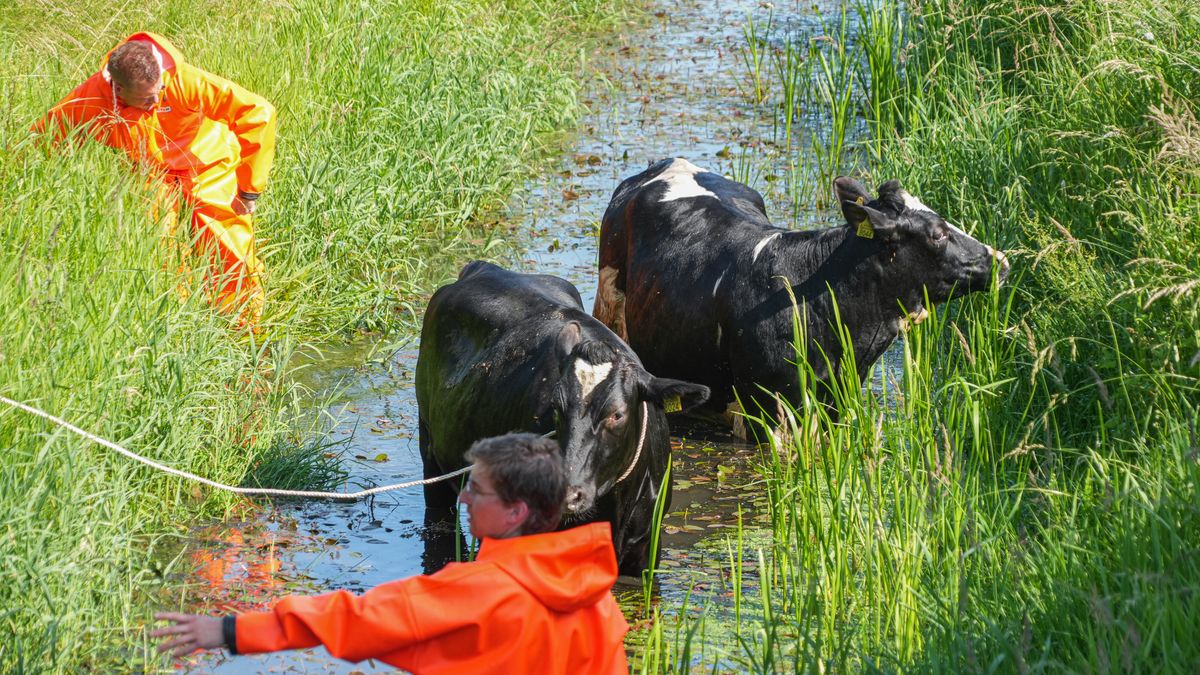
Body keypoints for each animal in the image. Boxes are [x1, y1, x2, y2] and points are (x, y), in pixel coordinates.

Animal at [416, 261, 709, 576]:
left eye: (617, 414)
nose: (568, 493)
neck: (613, 509)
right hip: (430, 453)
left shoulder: (646, 548)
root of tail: (483, 268)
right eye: (556, 406)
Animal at [593, 157, 1010, 432]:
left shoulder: (837, 399)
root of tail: (667, 163)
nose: (1000, 260)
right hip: (609, 301)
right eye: (938, 233)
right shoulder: (767, 408)